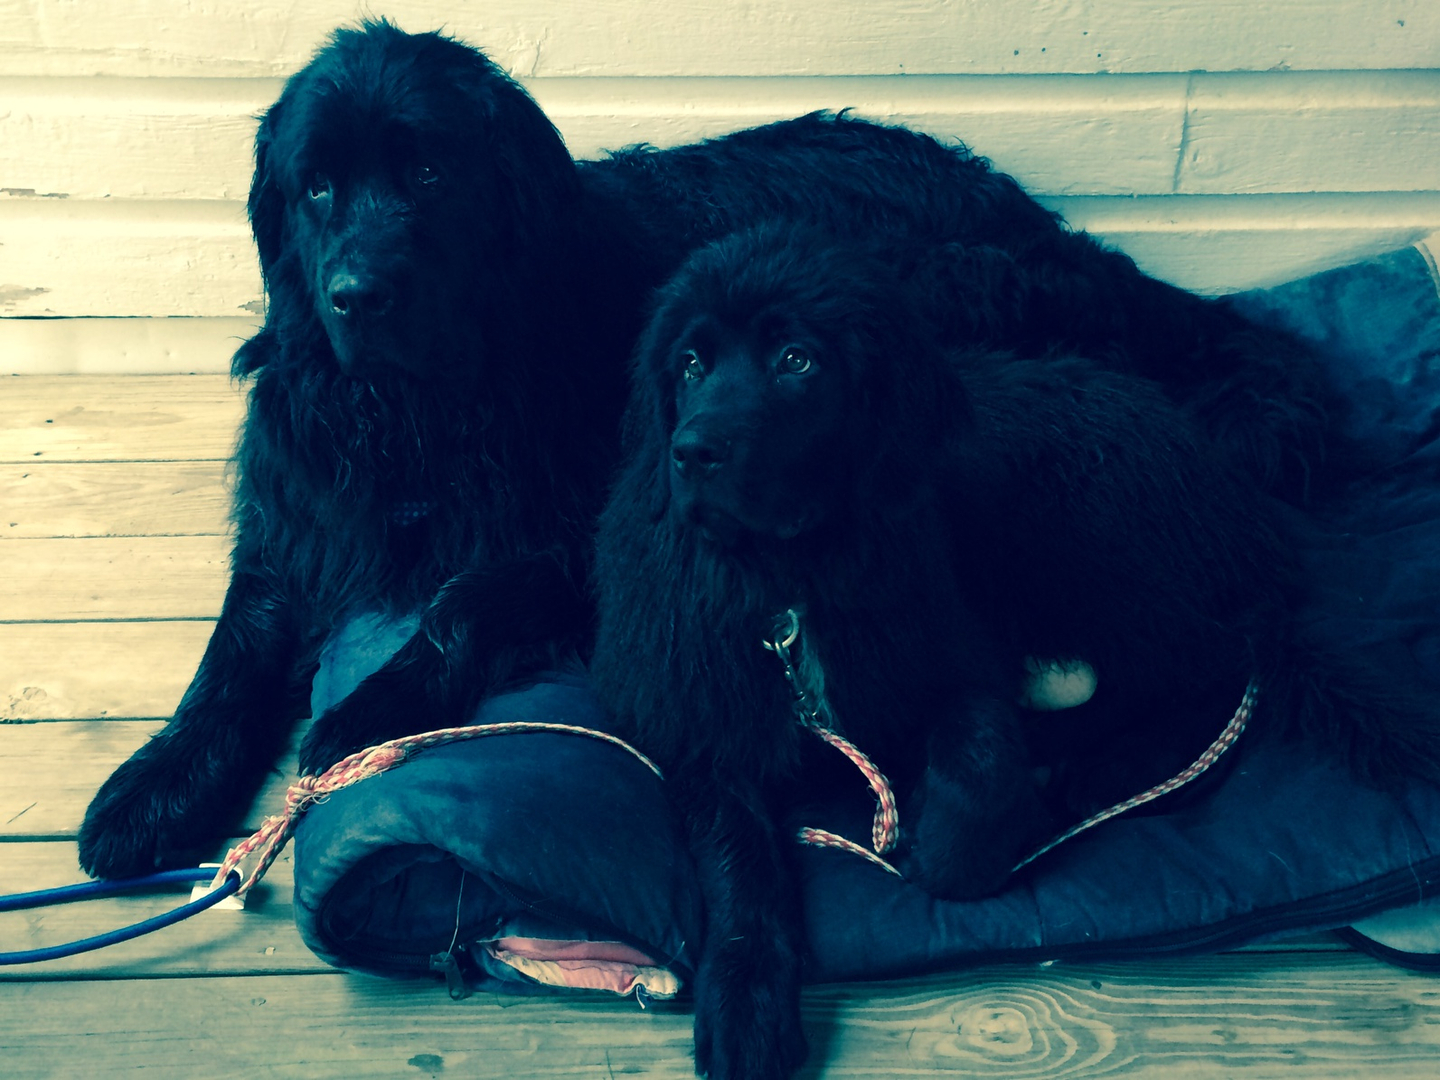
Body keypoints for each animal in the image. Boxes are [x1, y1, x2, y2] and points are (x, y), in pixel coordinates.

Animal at [78, 16, 1342, 881]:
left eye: (428, 172)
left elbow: (460, 603)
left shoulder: (598, 529)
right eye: (318, 188)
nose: (357, 295)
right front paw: (157, 785)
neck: (428, 407)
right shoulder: (302, 519)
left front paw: (359, 716)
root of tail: (1040, 222)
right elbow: (233, 652)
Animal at [587, 224, 1440, 1077]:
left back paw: (1105, 769)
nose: (693, 451)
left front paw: (943, 843)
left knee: (1219, 669)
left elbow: (978, 772)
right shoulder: (703, 727)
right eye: (690, 364)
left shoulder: (958, 657)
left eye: (797, 359)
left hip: (1082, 550)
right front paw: (747, 998)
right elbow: (740, 857)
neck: (790, 578)